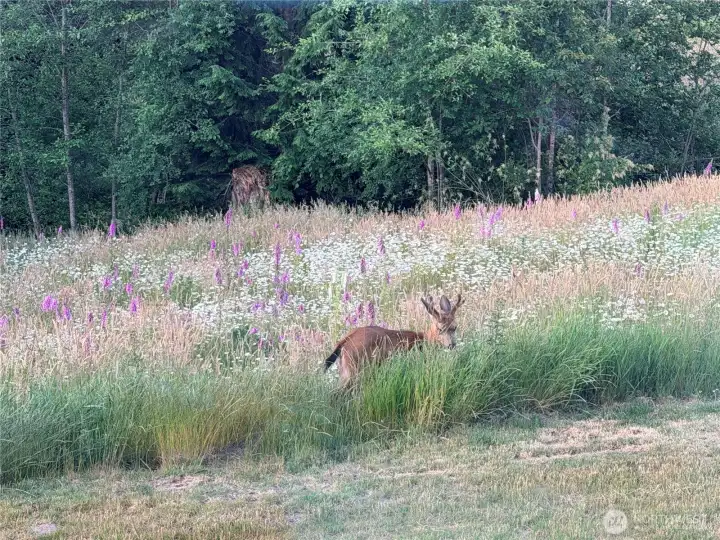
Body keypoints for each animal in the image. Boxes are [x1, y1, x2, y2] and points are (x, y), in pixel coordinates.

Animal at [323, 293, 465, 389]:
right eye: (440, 328)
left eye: (455, 327)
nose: (451, 344)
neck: (425, 340)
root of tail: (345, 339)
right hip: (354, 368)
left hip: (346, 369)